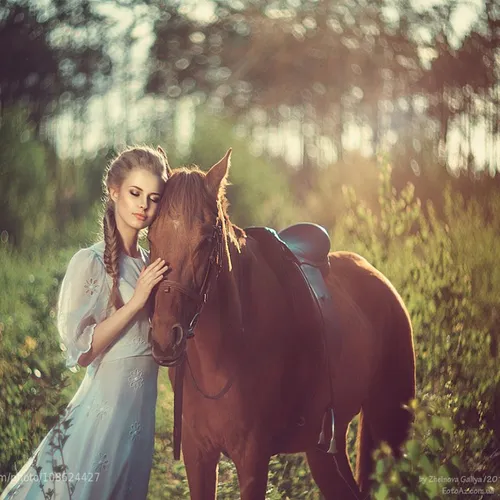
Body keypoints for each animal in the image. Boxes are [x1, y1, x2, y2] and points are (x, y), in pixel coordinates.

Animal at [146, 150, 416, 498]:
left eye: (205, 241)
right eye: (151, 238)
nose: (165, 338)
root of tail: (381, 281)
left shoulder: (253, 460)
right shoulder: (199, 457)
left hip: (390, 425)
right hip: (325, 449)